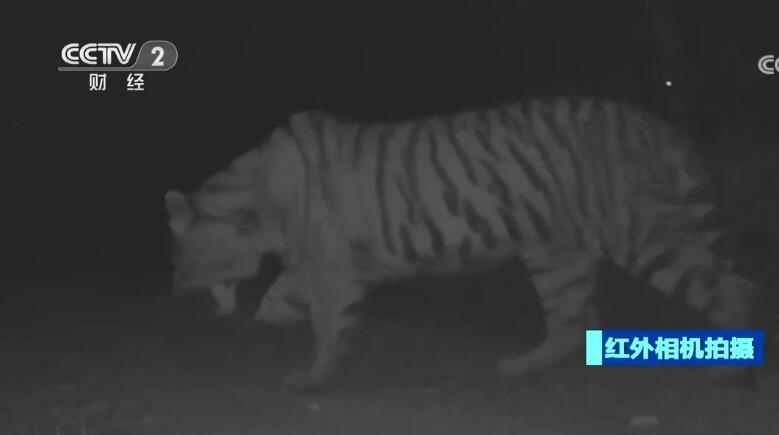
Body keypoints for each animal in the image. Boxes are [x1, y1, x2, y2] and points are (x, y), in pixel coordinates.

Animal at [165, 97, 765, 393]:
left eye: (182, 255)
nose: (175, 289)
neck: (256, 205)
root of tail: (658, 126)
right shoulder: (323, 259)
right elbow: (291, 293)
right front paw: (272, 315)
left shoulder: (331, 264)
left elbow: (329, 324)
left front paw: (312, 379)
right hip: (555, 252)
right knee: (572, 320)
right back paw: (519, 368)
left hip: (645, 234)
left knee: (737, 290)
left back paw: (730, 371)